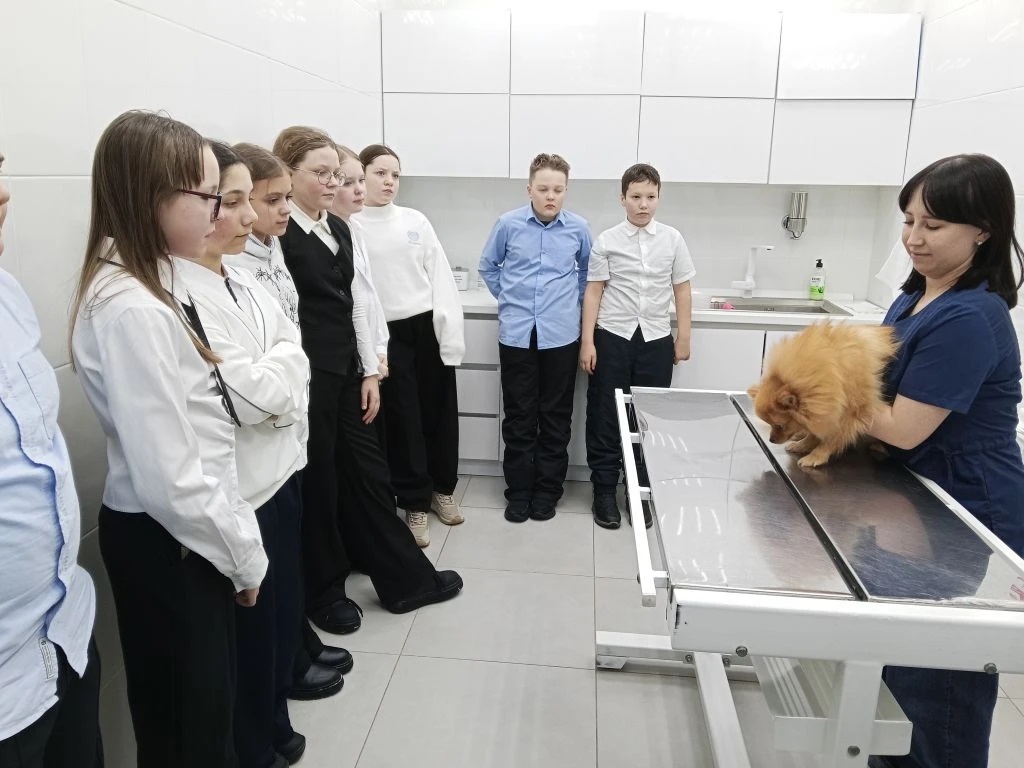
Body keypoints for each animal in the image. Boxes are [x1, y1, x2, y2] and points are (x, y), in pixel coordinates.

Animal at [747, 322, 898, 468]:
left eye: (780, 426)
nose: (771, 440)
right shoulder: (823, 414)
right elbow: (814, 433)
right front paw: (803, 445)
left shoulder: (848, 415)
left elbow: (831, 439)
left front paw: (816, 456)